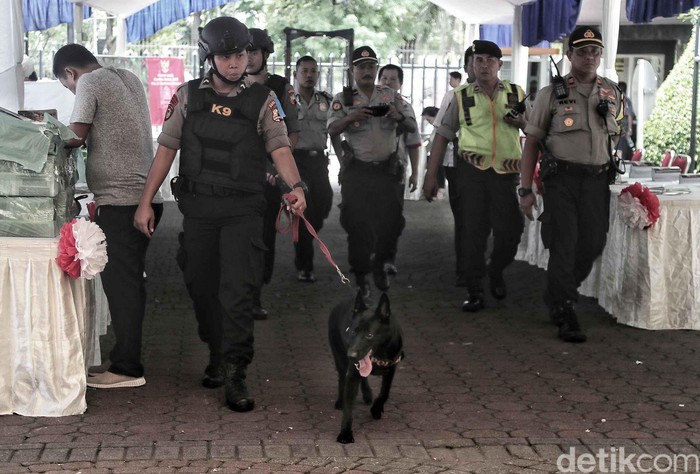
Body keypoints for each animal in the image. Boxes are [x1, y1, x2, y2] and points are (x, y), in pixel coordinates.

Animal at [328, 290, 404, 444]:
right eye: (352, 332)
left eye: (370, 335)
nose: (351, 355)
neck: (380, 353)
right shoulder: (352, 374)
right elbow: (348, 408)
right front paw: (345, 433)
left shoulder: (391, 369)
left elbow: (384, 393)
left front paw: (376, 409)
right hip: (339, 357)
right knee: (341, 377)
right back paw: (340, 401)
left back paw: (368, 394)